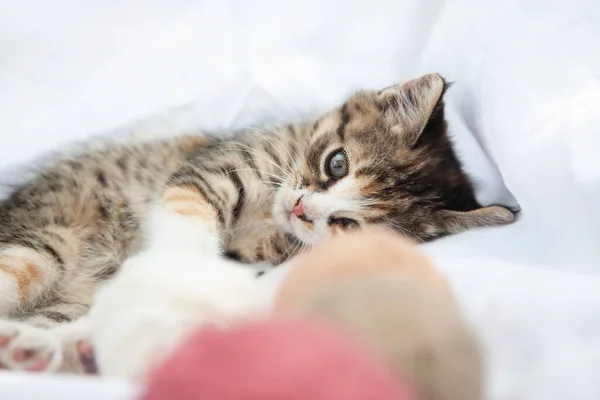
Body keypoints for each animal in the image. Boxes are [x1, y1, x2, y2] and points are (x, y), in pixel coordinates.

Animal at [0, 73, 516, 376]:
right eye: (337, 163)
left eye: (348, 226)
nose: (303, 209)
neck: (270, 214)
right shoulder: (214, 166)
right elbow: (187, 217)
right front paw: (175, 269)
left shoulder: (251, 258)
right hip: (45, 242)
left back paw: (35, 348)